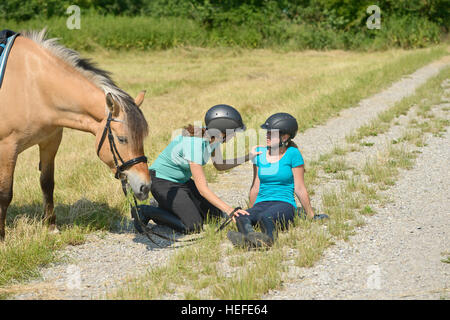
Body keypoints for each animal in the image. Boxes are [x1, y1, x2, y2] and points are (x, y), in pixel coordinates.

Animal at [0, 30, 151, 240]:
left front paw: (51, 226)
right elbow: (5, 192)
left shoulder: (50, 141)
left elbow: (47, 183)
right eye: (122, 139)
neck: (33, 86)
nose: (146, 187)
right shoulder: (8, 147)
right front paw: (1, 235)